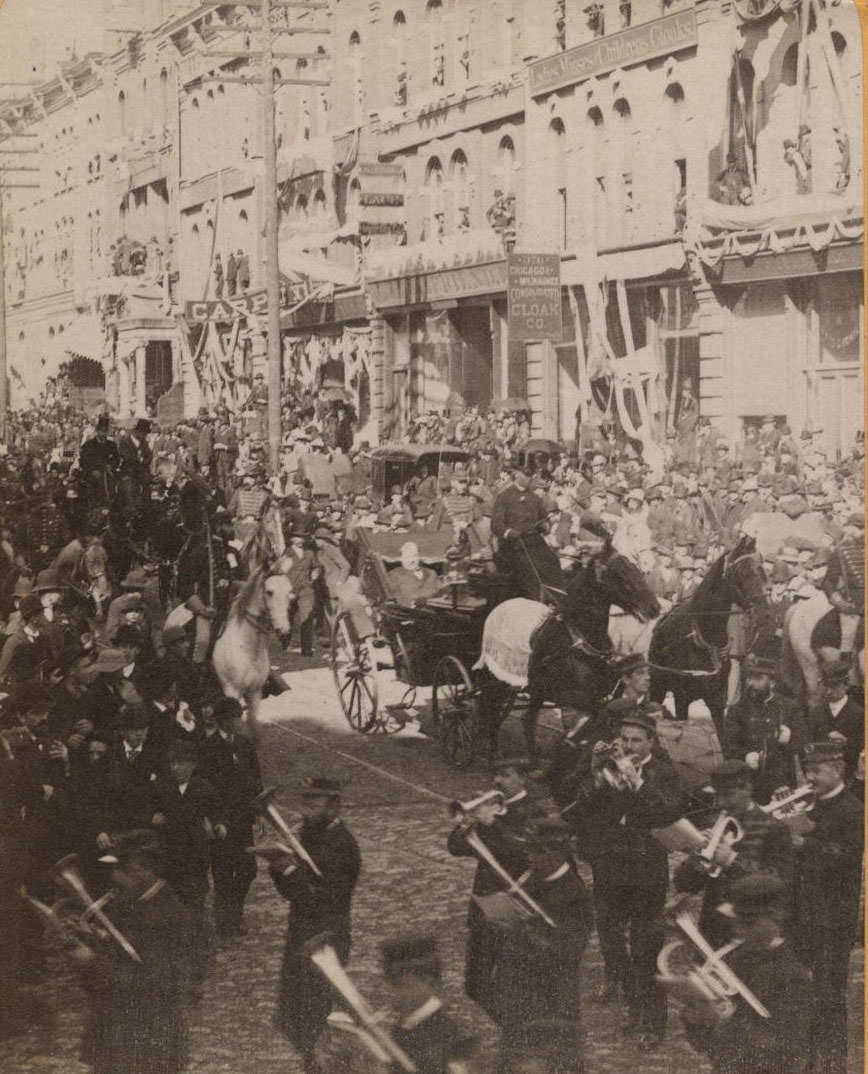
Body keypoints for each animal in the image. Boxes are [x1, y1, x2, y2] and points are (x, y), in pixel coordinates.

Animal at [210, 562, 294, 738]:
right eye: (269, 591)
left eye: (289, 591)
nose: (284, 631)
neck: (248, 649)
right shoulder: (231, 691)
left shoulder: (254, 692)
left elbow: (254, 727)